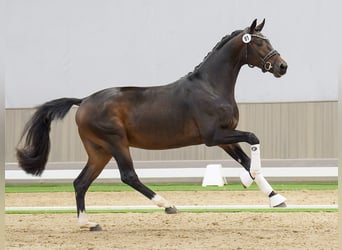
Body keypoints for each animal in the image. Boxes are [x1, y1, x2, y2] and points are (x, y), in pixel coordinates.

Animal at [16, 19, 288, 230]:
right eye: (259, 42)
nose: (282, 66)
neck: (211, 87)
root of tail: (83, 101)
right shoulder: (215, 136)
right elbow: (253, 139)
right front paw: (249, 181)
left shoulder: (224, 138)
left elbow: (246, 160)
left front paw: (275, 198)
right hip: (116, 143)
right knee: (128, 176)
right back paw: (167, 205)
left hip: (99, 151)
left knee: (80, 182)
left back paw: (87, 223)